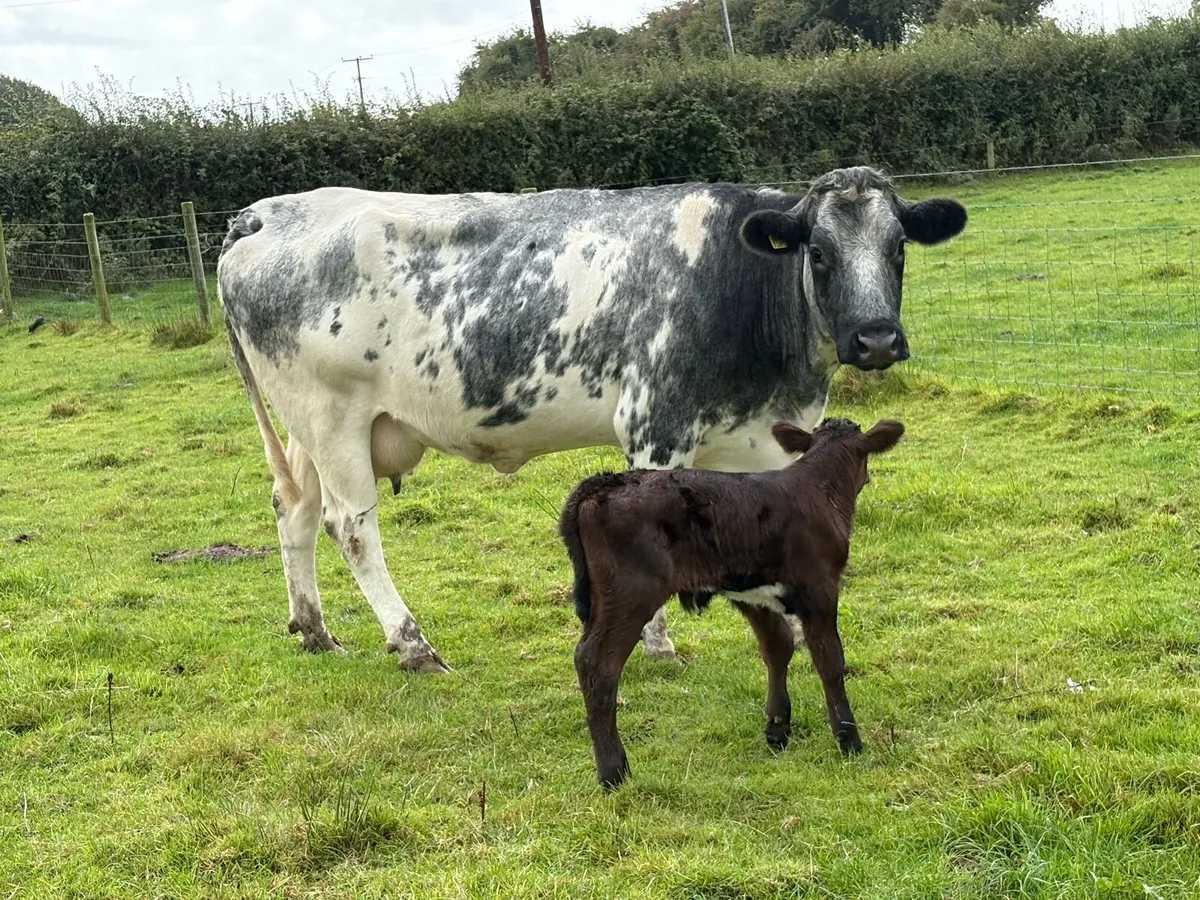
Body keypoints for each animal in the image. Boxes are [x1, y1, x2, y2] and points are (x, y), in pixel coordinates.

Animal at [216, 166, 966, 673]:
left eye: (899, 247)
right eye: (820, 251)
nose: (875, 339)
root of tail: (267, 212)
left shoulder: (761, 437)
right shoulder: (654, 423)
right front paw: (659, 645)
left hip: (309, 427)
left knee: (293, 508)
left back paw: (315, 629)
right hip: (333, 415)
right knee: (350, 526)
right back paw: (413, 644)